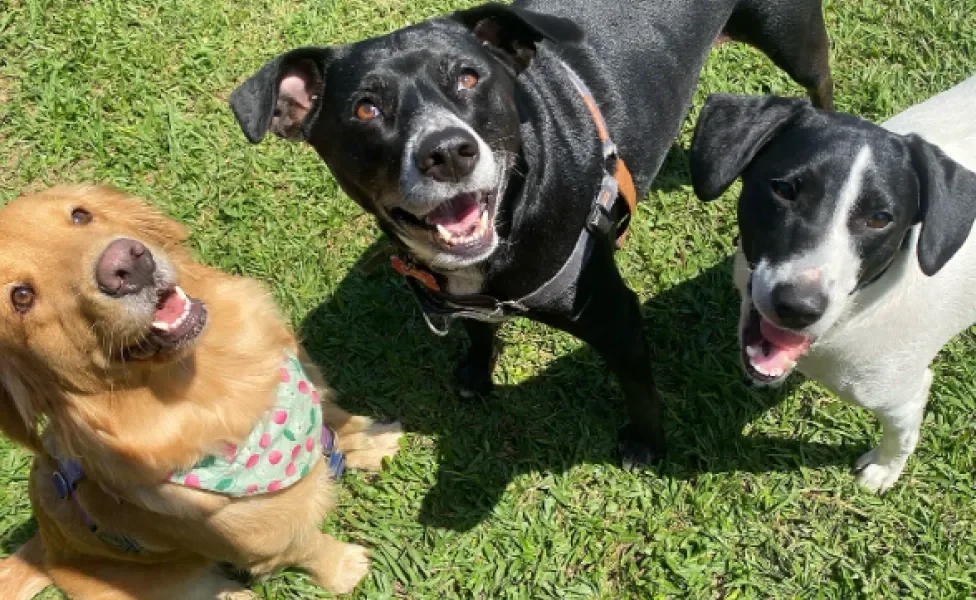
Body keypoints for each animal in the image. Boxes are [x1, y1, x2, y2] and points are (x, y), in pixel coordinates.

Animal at [0, 185, 404, 596]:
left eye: (80, 215)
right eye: (21, 297)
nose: (126, 265)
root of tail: (46, 550)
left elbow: (338, 423)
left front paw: (376, 442)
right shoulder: (271, 539)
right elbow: (311, 547)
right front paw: (345, 569)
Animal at [227, 0, 832, 466]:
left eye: (470, 77)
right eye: (365, 109)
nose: (448, 151)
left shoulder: (614, 314)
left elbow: (641, 392)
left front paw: (647, 446)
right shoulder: (463, 302)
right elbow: (477, 330)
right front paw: (477, 370)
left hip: (792, 37)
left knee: (820, 83)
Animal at [692, 75, 976, 490]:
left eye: (880, 218)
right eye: (784, 190)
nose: (797, 307)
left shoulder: (903, 395)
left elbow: (901, 436)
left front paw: (883, 470)